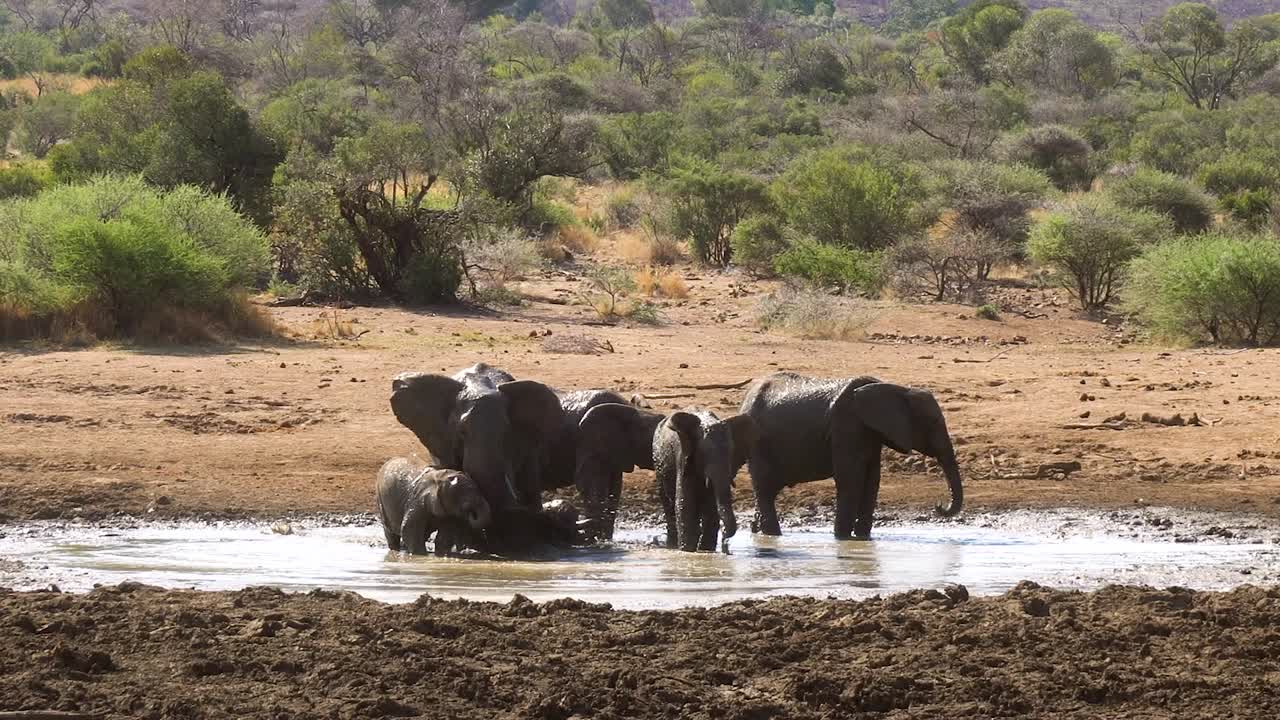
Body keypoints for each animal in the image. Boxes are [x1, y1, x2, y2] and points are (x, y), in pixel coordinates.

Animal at [653, 409, 757, 552]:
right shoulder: (683, 457)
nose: (725, 543)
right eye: (705, 453)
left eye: (731, 452)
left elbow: (711, 507)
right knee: (667, 502)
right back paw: (672, 545)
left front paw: (706, 551)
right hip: (658, 462)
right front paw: (687, 550)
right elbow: (685, 504)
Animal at [740, 372, 964, 540]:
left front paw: (863, 538)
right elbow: (851, 479)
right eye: (933, 422)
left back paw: (757, 531)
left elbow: (872, 480)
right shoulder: (846, 426)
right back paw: (773, 535)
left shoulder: (872, 433)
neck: (894, 389)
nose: (939, 505)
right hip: (757, 443)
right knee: (765, 488)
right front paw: (843, 538)